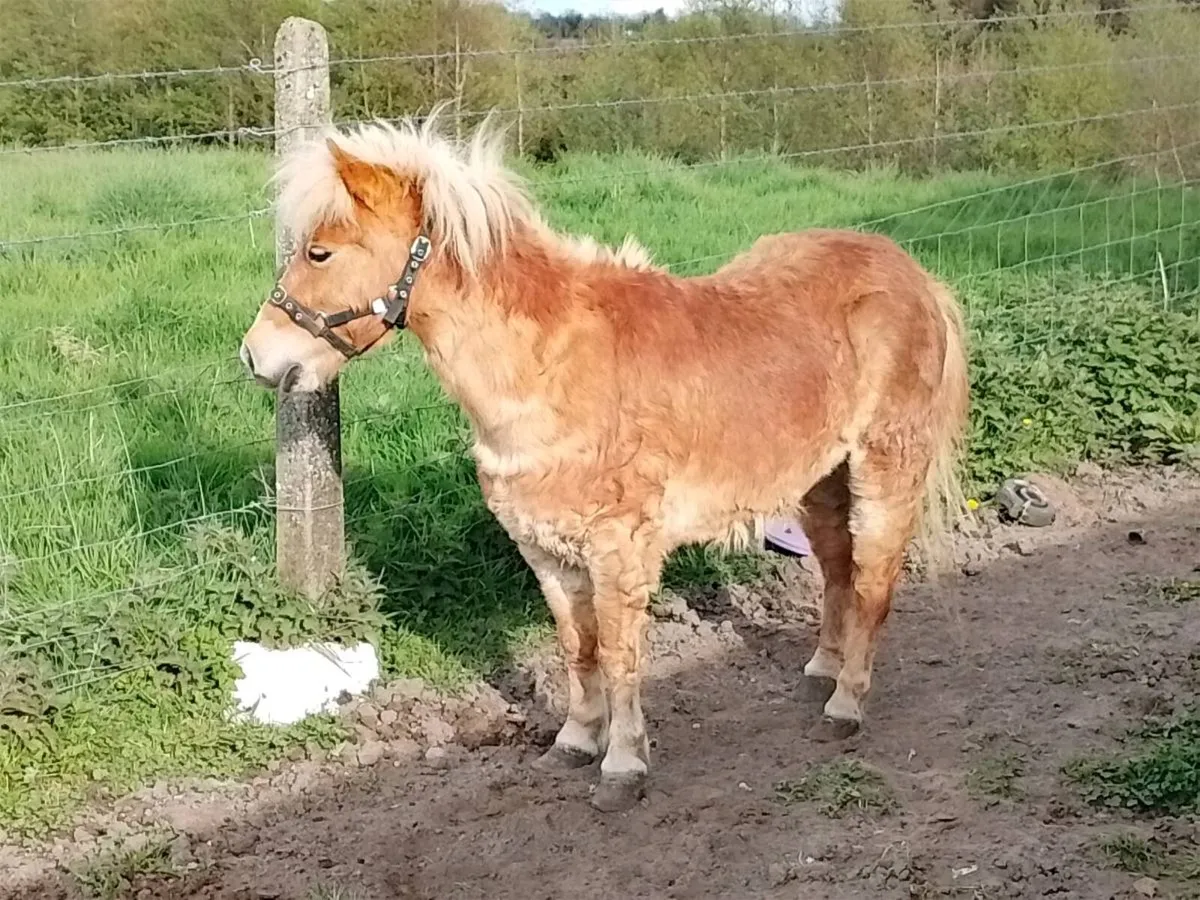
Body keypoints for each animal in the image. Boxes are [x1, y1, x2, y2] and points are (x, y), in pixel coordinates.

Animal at [240, 111, 970, 813]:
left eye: (319, 251)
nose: (255, 357)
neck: (553, 371)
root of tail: (914, 274)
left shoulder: (620, 552)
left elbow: (621, 656)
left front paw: (623, 766)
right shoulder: (547, 552)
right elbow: (578, 648)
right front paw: (573, 741)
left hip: (885, 468)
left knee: (874, 579)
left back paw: (845, 703)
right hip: (818, 482)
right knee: (839, 570)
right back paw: (821, 670)